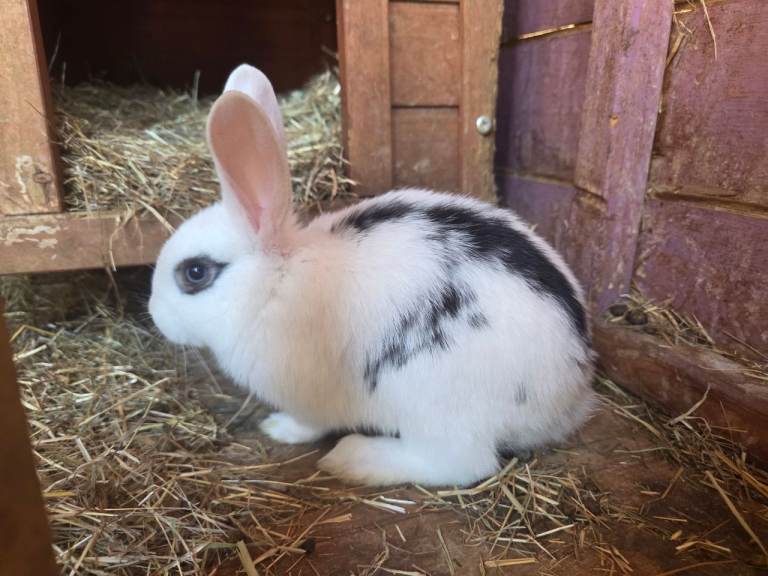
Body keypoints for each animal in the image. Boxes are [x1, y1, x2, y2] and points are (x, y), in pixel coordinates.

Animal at [149, 64, 596, 487]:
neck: (274, 282)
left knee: (462, 464)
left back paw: (354, 458)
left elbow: (307, 424)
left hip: (434, 400)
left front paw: (277, 428)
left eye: (195, 273)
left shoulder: (309, 398)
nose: (154, 314)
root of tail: (569, 391)